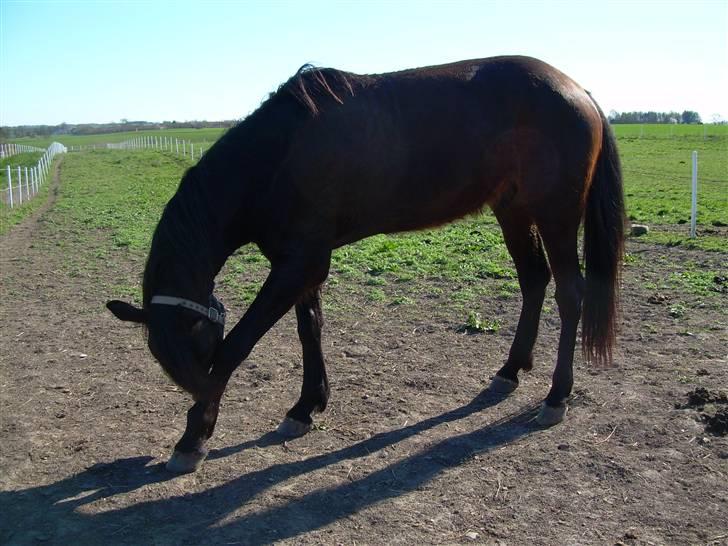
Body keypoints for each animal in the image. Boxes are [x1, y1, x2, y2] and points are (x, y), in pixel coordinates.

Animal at [106, 56, 624, 472]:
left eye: (196, 345)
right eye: (163, 356)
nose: (199, 402)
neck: (279, 156)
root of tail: (579, 91)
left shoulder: (298, 264)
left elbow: (239, 344)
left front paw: (194, 439)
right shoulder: (301, 262)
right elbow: (309, 328)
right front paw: (306, 407)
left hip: (556, 214)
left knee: (569, 293)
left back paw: (556, 396)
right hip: (512, 208)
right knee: (533, 280)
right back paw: (511, 370)